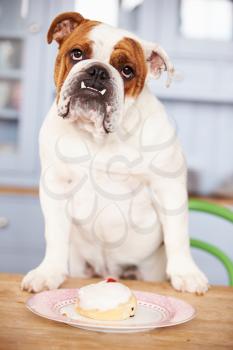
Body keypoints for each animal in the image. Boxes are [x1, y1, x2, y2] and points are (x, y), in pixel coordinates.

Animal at [21, 12, 208, 294]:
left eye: (127, 70)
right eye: (77, 54)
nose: (98, 71)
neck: (100, 137)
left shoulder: (169, 189)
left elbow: (178, 235)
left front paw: (186, 274)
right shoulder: (55, 187)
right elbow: (54, 234)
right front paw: (49, 272)